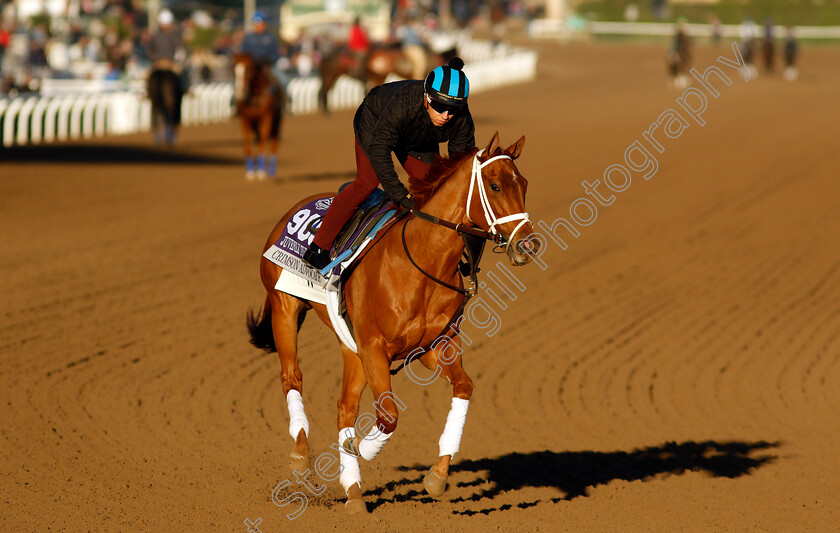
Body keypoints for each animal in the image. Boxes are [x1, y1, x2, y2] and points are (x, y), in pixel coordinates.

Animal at [231, 53, 284, 181]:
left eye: (249, 70)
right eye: (234, 69)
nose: (239, 93)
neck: (255, 96)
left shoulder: (267, 118)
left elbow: (262, 143)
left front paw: (261, 172)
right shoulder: (246, 120)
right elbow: (247, 145)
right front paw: (250, 172)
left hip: (276, 123)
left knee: (273, 143)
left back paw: (271, 172)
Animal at [246, 132, 540, 512]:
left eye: (524, 184)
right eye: (495, 186)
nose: (528, 245)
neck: (423, 261)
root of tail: (292, 210)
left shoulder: (434, 347)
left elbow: (463, 387)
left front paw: (437, 476)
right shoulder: (375, 348)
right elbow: (389, 414)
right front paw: (364, 447)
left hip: (350, 345)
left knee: (345, 407)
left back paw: (354, 491)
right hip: (286, 308)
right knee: (291, 377)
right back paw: (301, 455)